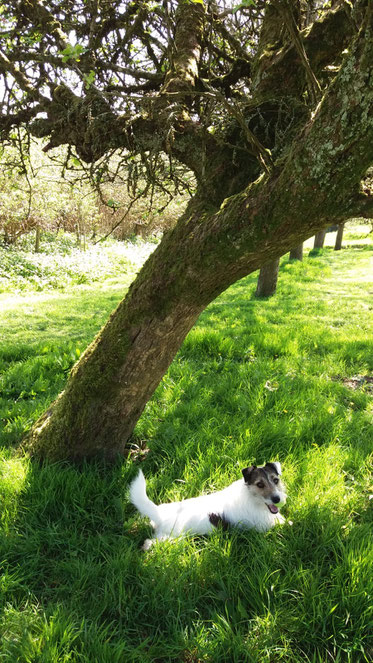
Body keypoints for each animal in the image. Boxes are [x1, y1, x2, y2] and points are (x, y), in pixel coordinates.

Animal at [129, 462, 286, 548]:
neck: (251, 496)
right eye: (260, 484)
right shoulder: (265, 525)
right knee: (150, 543)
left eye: (276, 480)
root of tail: (159, 513)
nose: (277, 499)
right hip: (170, 537)